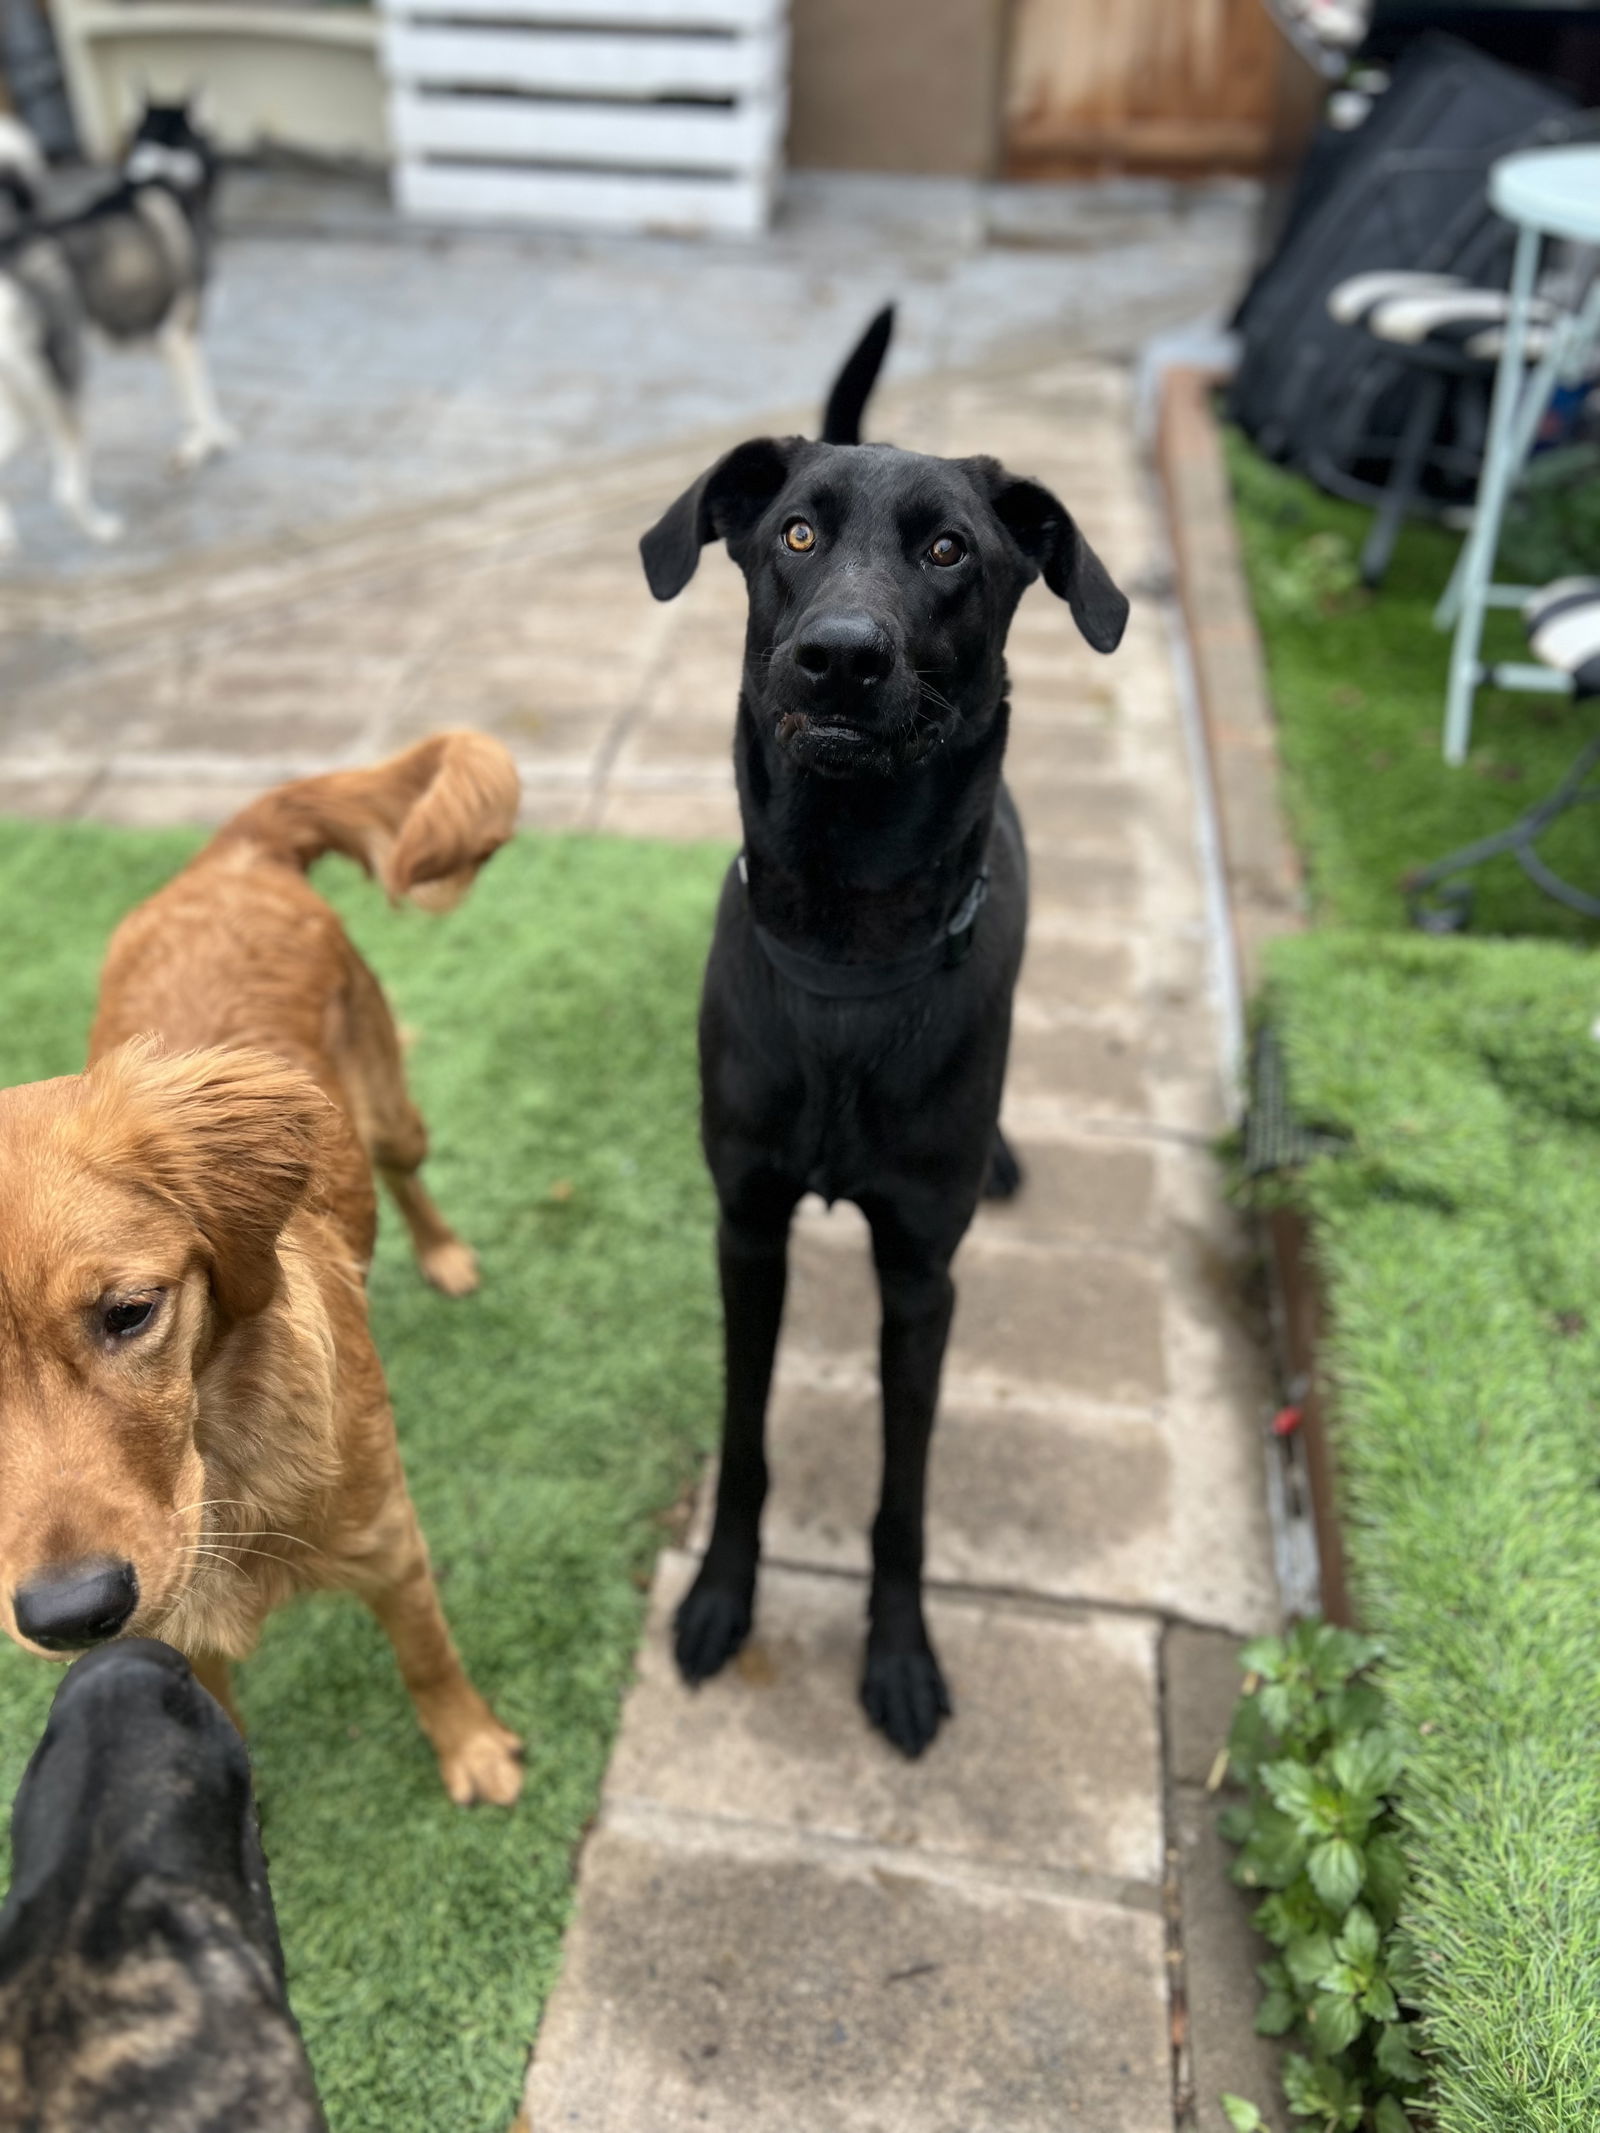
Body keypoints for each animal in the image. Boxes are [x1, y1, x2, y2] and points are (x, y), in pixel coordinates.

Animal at [0, 103, 237, 554]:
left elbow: (195, 400)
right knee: (66, 490)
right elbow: (202, 399)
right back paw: (102, 528)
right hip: (61, 390)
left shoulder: (158, 341)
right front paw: (206, 444)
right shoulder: (182, 335)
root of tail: (11, 252)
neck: (162, 171)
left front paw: (204, 442)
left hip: (22, 404)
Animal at [0, 742, 526, 1808]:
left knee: (408, 1168)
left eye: (130, 1312)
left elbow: (428, 1657)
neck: (222, 1465)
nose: (71, 1613)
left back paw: (445, 1254)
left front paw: (472, 1747)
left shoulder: (392, 1545)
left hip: (388, 1110)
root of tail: (231, 853)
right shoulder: (168, 1627)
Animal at [640, 311, 1126, 1749]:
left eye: (951, 549)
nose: (843, 654)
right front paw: (720, 1596)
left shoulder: (920, 1274)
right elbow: (744, 1443)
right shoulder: (746, 1231)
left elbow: (903, 1496)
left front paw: (899, 1655)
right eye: (797, 533)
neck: (849, 952)